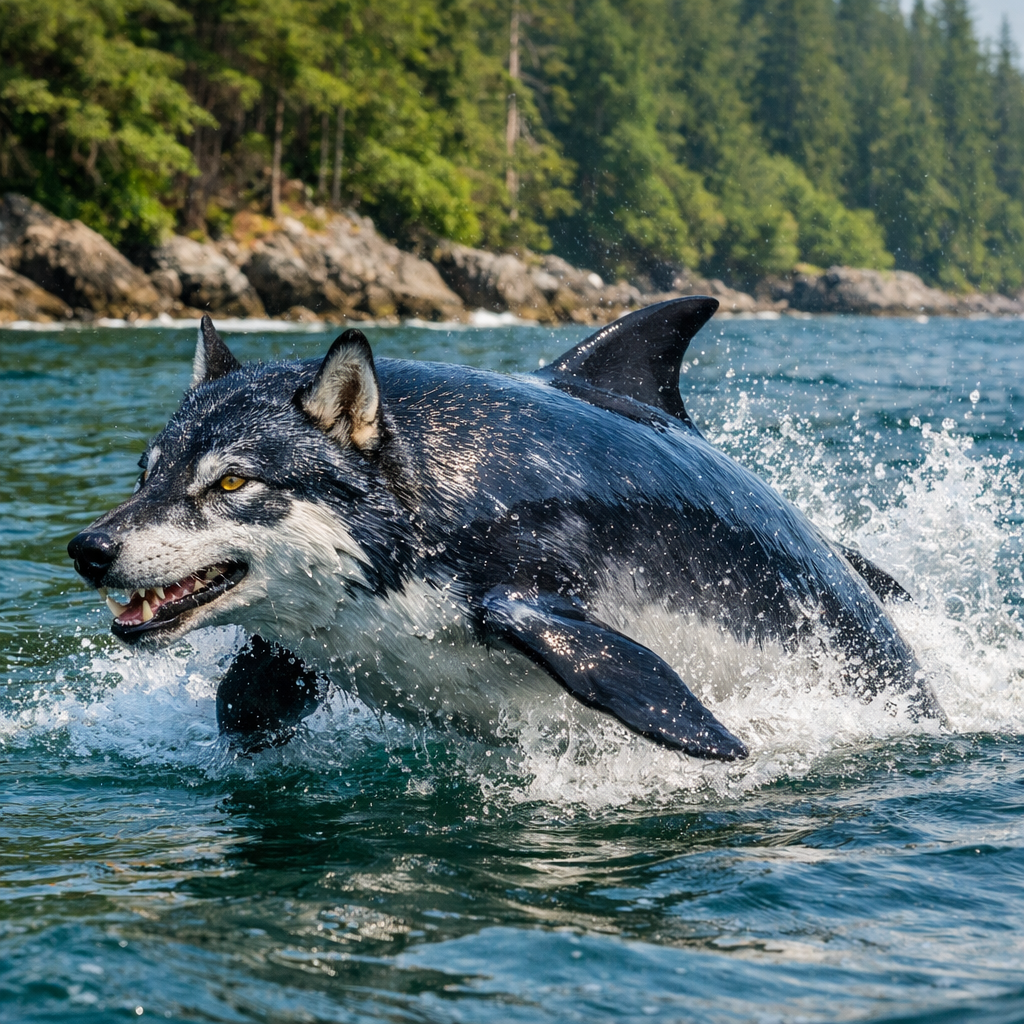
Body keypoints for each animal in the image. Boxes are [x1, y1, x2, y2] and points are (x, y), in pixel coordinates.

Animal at [68, 299, 941, 759]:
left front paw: (722, 744)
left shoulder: (523, 587)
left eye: (231, 482)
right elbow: (246, 699)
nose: (90, 549)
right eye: (144, 474)